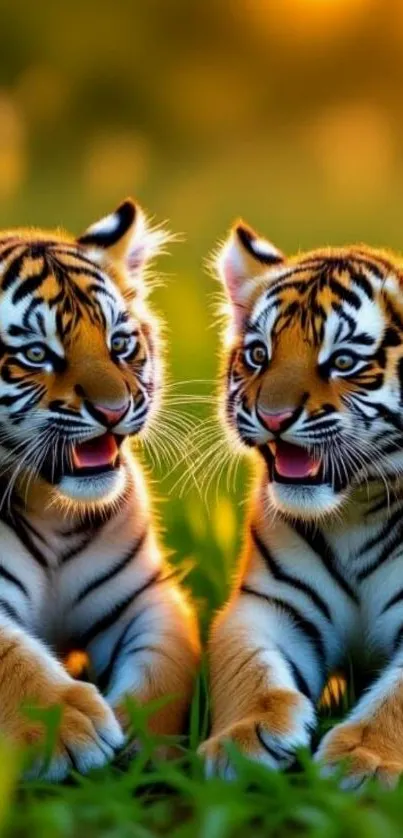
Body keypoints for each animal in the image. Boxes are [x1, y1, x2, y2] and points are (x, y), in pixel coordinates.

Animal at [0, 198, 200, 780]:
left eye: (120, 344)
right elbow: (9, 657)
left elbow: (166, 666)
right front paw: (67, 730)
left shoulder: (146, 595)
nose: (113, 410)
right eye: (37, 354)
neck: (50, 506)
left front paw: (142, 740)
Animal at [200, 220, 403, 788]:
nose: (272, 417)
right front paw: (242, 739)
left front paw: (366, 759)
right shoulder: (267, 604)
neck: (355, 510)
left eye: (342, 362)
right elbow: (247, 669)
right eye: (258, 355)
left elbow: (397, 700)